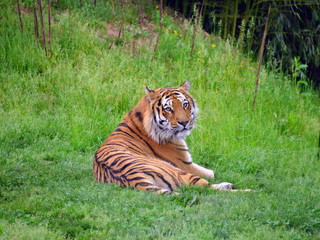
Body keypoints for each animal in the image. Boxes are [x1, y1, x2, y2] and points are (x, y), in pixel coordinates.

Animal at [94, 81, 236, 194]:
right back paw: (233, 187)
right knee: (206, 187)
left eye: (185, 105)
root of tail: (135, 179)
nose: (184, 123)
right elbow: (211, 173)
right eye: (168, 109)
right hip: (178, 171)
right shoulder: (186, 164)